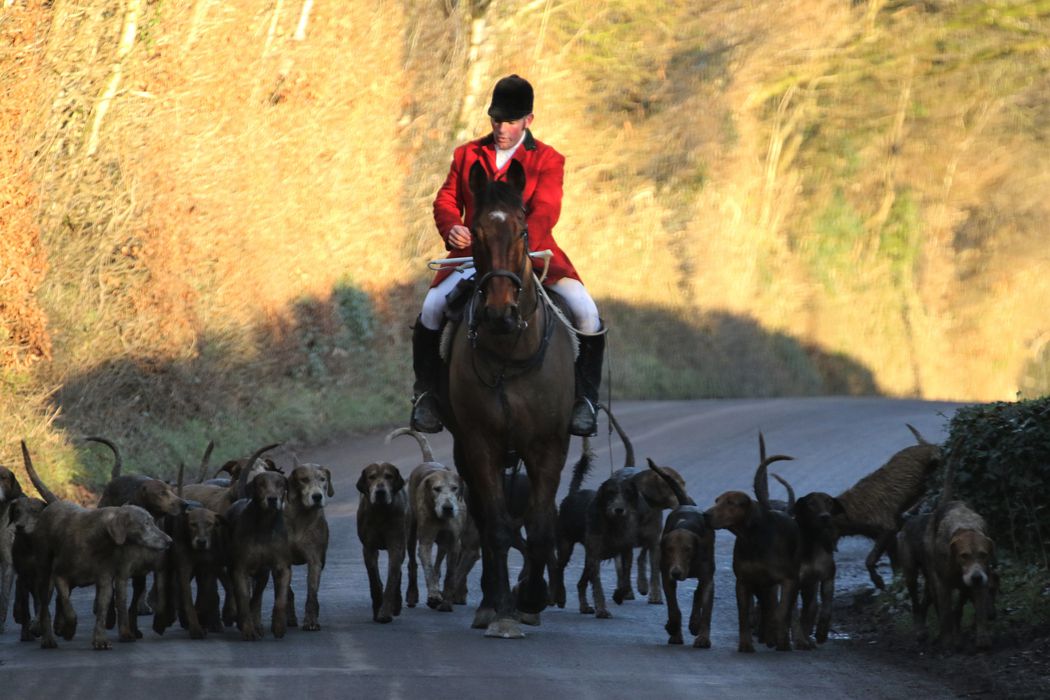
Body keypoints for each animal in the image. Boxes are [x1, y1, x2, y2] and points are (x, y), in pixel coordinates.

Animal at [440, 158, 575, 642]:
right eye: (476, 233)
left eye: (521, 231)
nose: (499, 313)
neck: (508, 351)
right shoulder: (480, 444)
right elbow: (496, 527)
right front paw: (501, 610)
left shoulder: (549, 446)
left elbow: (540, 525)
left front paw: (531, 599)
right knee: (483, 519)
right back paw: (486, 603)